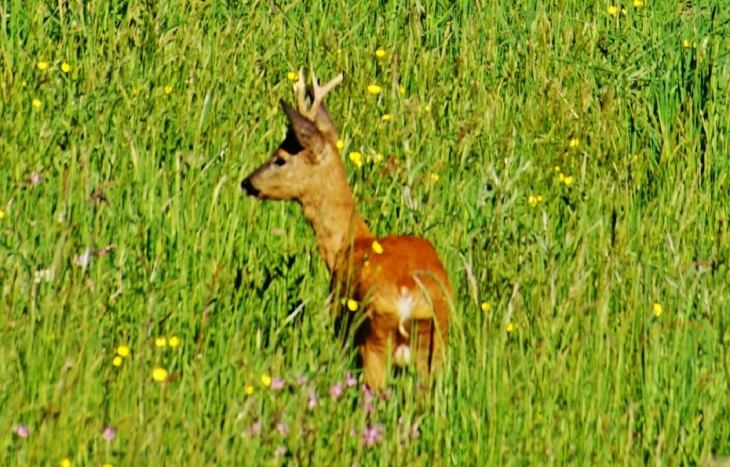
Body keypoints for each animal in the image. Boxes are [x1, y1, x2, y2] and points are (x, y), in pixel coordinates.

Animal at [240, 70, 450, 392]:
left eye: (280, 158)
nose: (247, 182)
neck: (351, 242)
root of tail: (408, 297)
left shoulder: (339, 319)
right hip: (436, 344)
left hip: (373, 336)